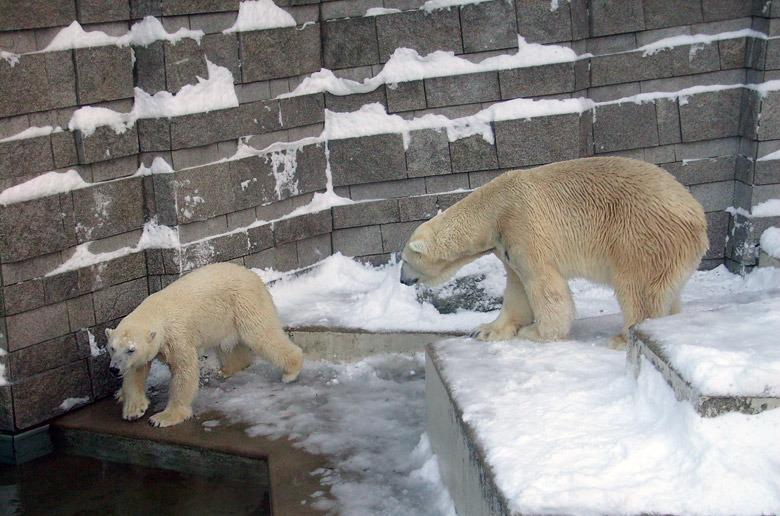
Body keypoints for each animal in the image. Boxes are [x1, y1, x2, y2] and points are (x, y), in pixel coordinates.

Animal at [108, 262, 304, 428]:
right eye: (112, 348)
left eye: (131, 349)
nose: (114, 369)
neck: (157, 311)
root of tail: (253, 274)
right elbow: (135, 372)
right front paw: (133, 411)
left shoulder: (177, 336)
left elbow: (185, 371)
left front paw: (162, 418)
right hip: (225, 319)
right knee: (229, 346)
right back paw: (227, 370)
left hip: (245, 302)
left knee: (260, 334)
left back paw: (290, 372)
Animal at [400, 157, 708, 348]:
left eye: (404, 260)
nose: (402, 279)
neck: (495, 208)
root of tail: (697, 215)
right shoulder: (506, 245)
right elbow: (516, 289)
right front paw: (486, 329)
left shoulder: (522, 225)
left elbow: (544, 284)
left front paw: (537, 332)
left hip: (639, 234)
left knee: (637, 287)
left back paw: (623, 338)